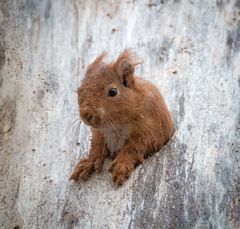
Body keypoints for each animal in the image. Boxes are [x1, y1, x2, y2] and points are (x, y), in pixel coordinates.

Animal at [70, 49, 174, 185]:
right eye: (79, 91)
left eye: (113, 92)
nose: (86, 115)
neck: (117, 123)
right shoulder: (100, 132)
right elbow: (96, 146)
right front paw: (89, 162)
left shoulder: (150, 127)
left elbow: (135, 147)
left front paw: (121, 165)